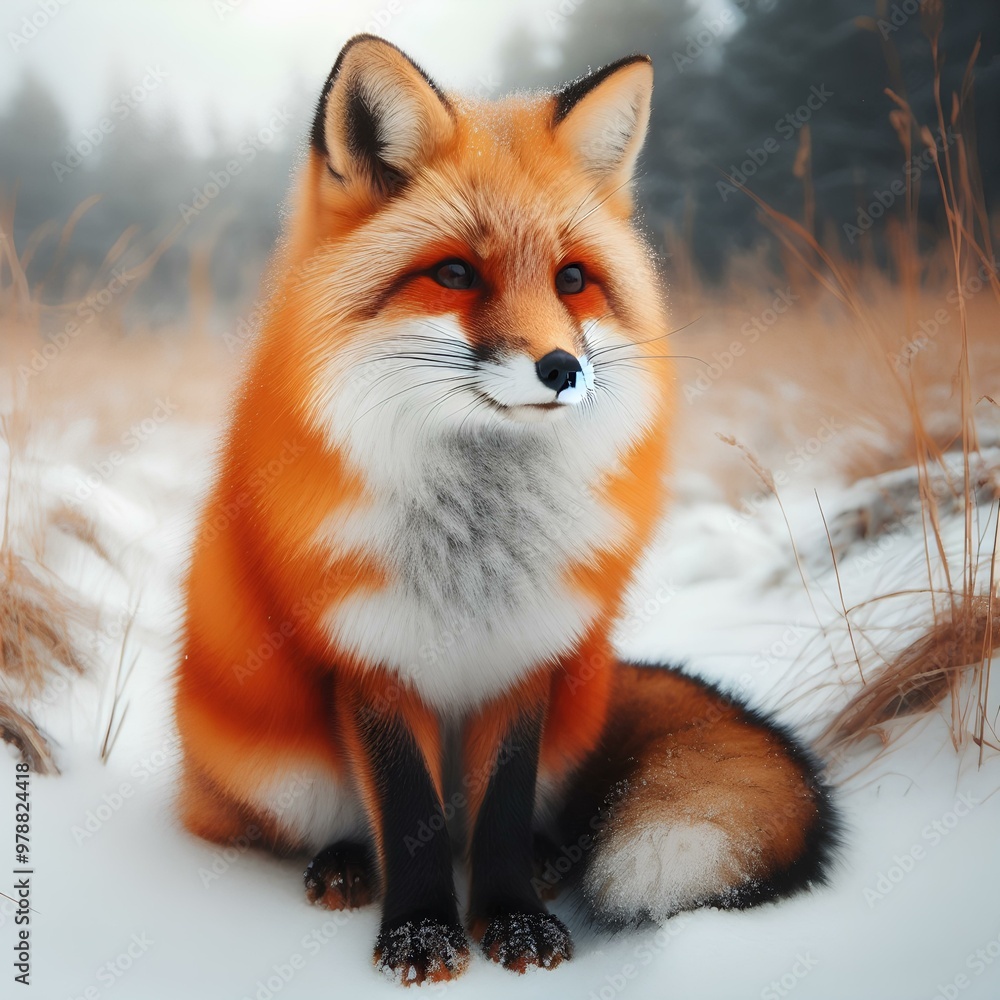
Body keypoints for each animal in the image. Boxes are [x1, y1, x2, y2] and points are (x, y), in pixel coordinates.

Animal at [174, 35, 839, 985]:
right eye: (455, 273)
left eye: (573, 279)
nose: (564, 368)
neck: (474, 561)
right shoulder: (370, 658)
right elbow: (407, 814)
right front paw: (420, 934)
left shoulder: (530, 654)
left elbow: (501, 814)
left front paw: (513, 919)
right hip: (275, 765)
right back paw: (343, 863)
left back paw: (552, 859)